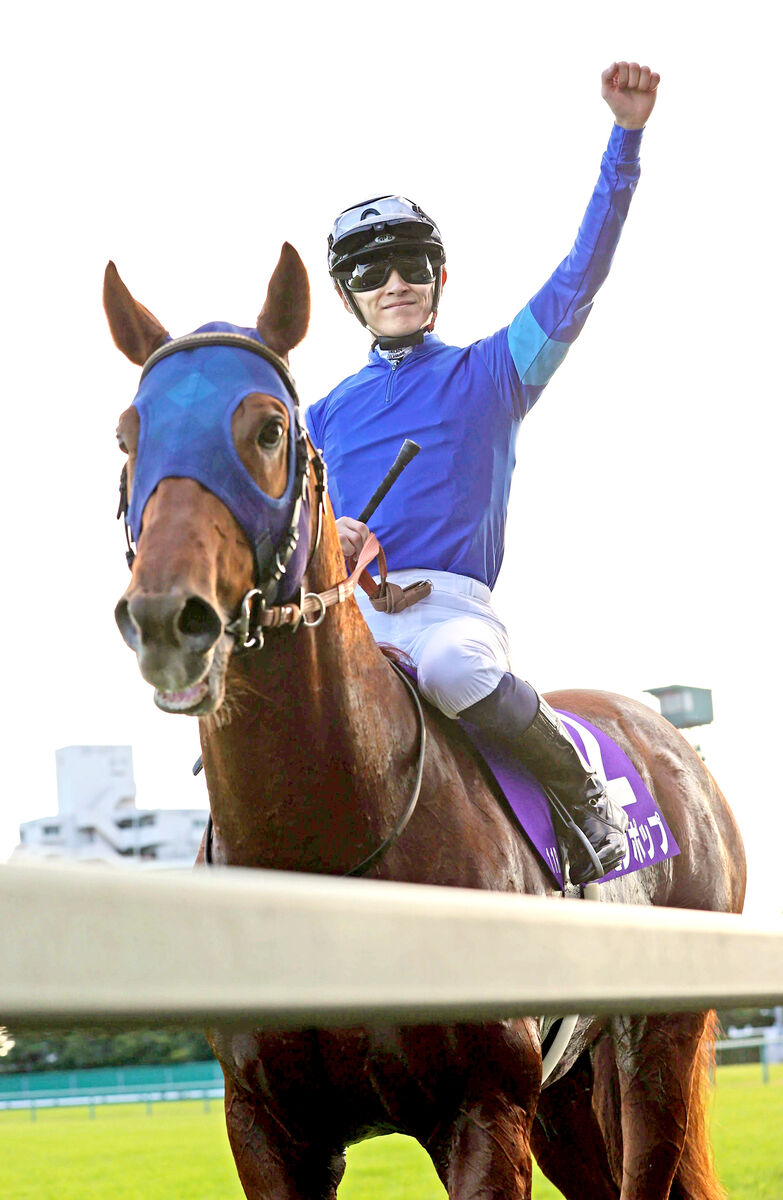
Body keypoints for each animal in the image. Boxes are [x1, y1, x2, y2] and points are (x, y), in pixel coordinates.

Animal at [104, 244, 746, 1200]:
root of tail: (673, 741)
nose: (164, 618)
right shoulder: (266, 1130)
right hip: (566, 1094)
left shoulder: (481, 1110)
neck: (322, 849)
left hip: (653, 1048)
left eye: (268, 429)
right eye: (128, 434)